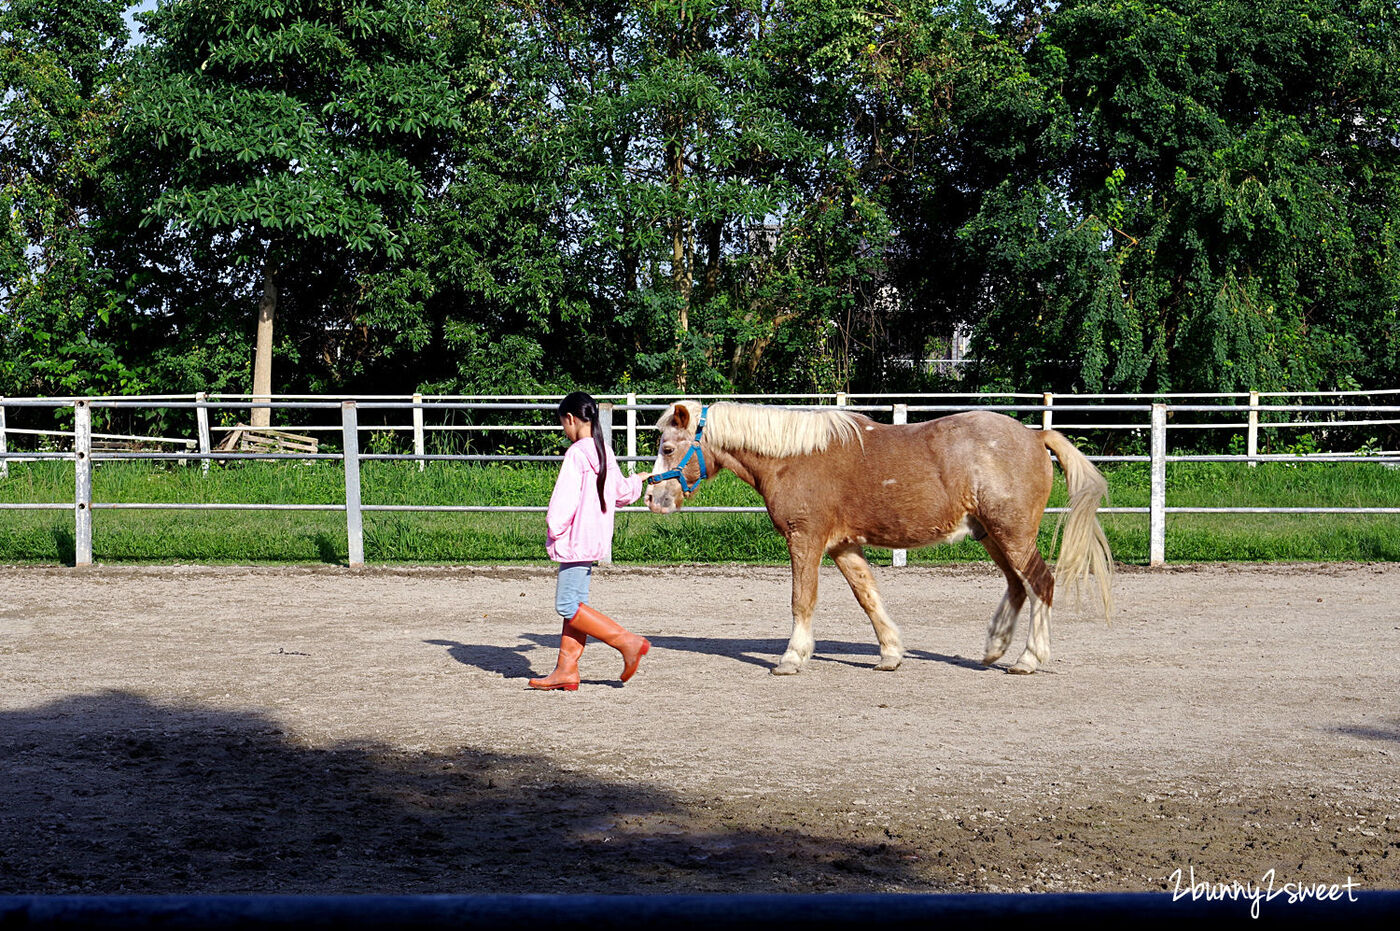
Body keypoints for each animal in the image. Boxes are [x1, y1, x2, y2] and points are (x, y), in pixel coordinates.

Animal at [644, 403, 1114, 672]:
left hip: (1012, 534)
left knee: (1041, 584)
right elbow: (868, 596)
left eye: (667, 448)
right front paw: (890, 653)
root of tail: (1036, 435)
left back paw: (1028, 659)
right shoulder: (843, 546)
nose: (652, 497)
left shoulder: (805, 539)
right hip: (991, 535)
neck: (791, 458)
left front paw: (792, 657)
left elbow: (802, 599)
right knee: (1019, 586)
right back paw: (994, 648)